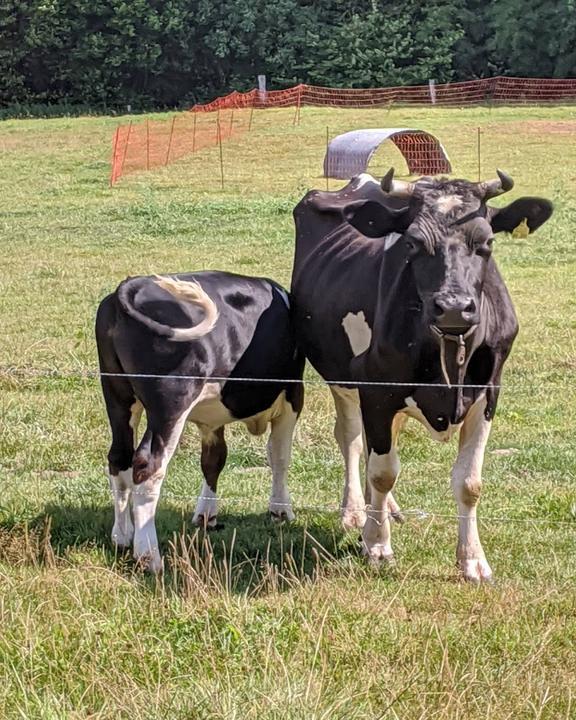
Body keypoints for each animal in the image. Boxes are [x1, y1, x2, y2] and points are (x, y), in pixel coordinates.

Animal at [98, 272, 306, 572]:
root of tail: (132, 284)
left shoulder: (212, 418)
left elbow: (213, 459)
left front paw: (207, 515)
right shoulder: (293, 395)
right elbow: (279, 456)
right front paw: (280, 509)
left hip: (117, 394)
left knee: (119, 458)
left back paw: (122, 536)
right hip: (170, 403)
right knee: (148, 467)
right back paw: (149, 557)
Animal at [292, 167, 552, 580]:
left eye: (487, 241)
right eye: (413, 243)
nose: (454, 307)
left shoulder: (489, 391)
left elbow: (469, 482)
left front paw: (472, 559)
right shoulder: (376, 389)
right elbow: (382, 470)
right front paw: (377, 545)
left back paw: (384, 509)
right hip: (341, 378)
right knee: (351, 439)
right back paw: (355, 513)